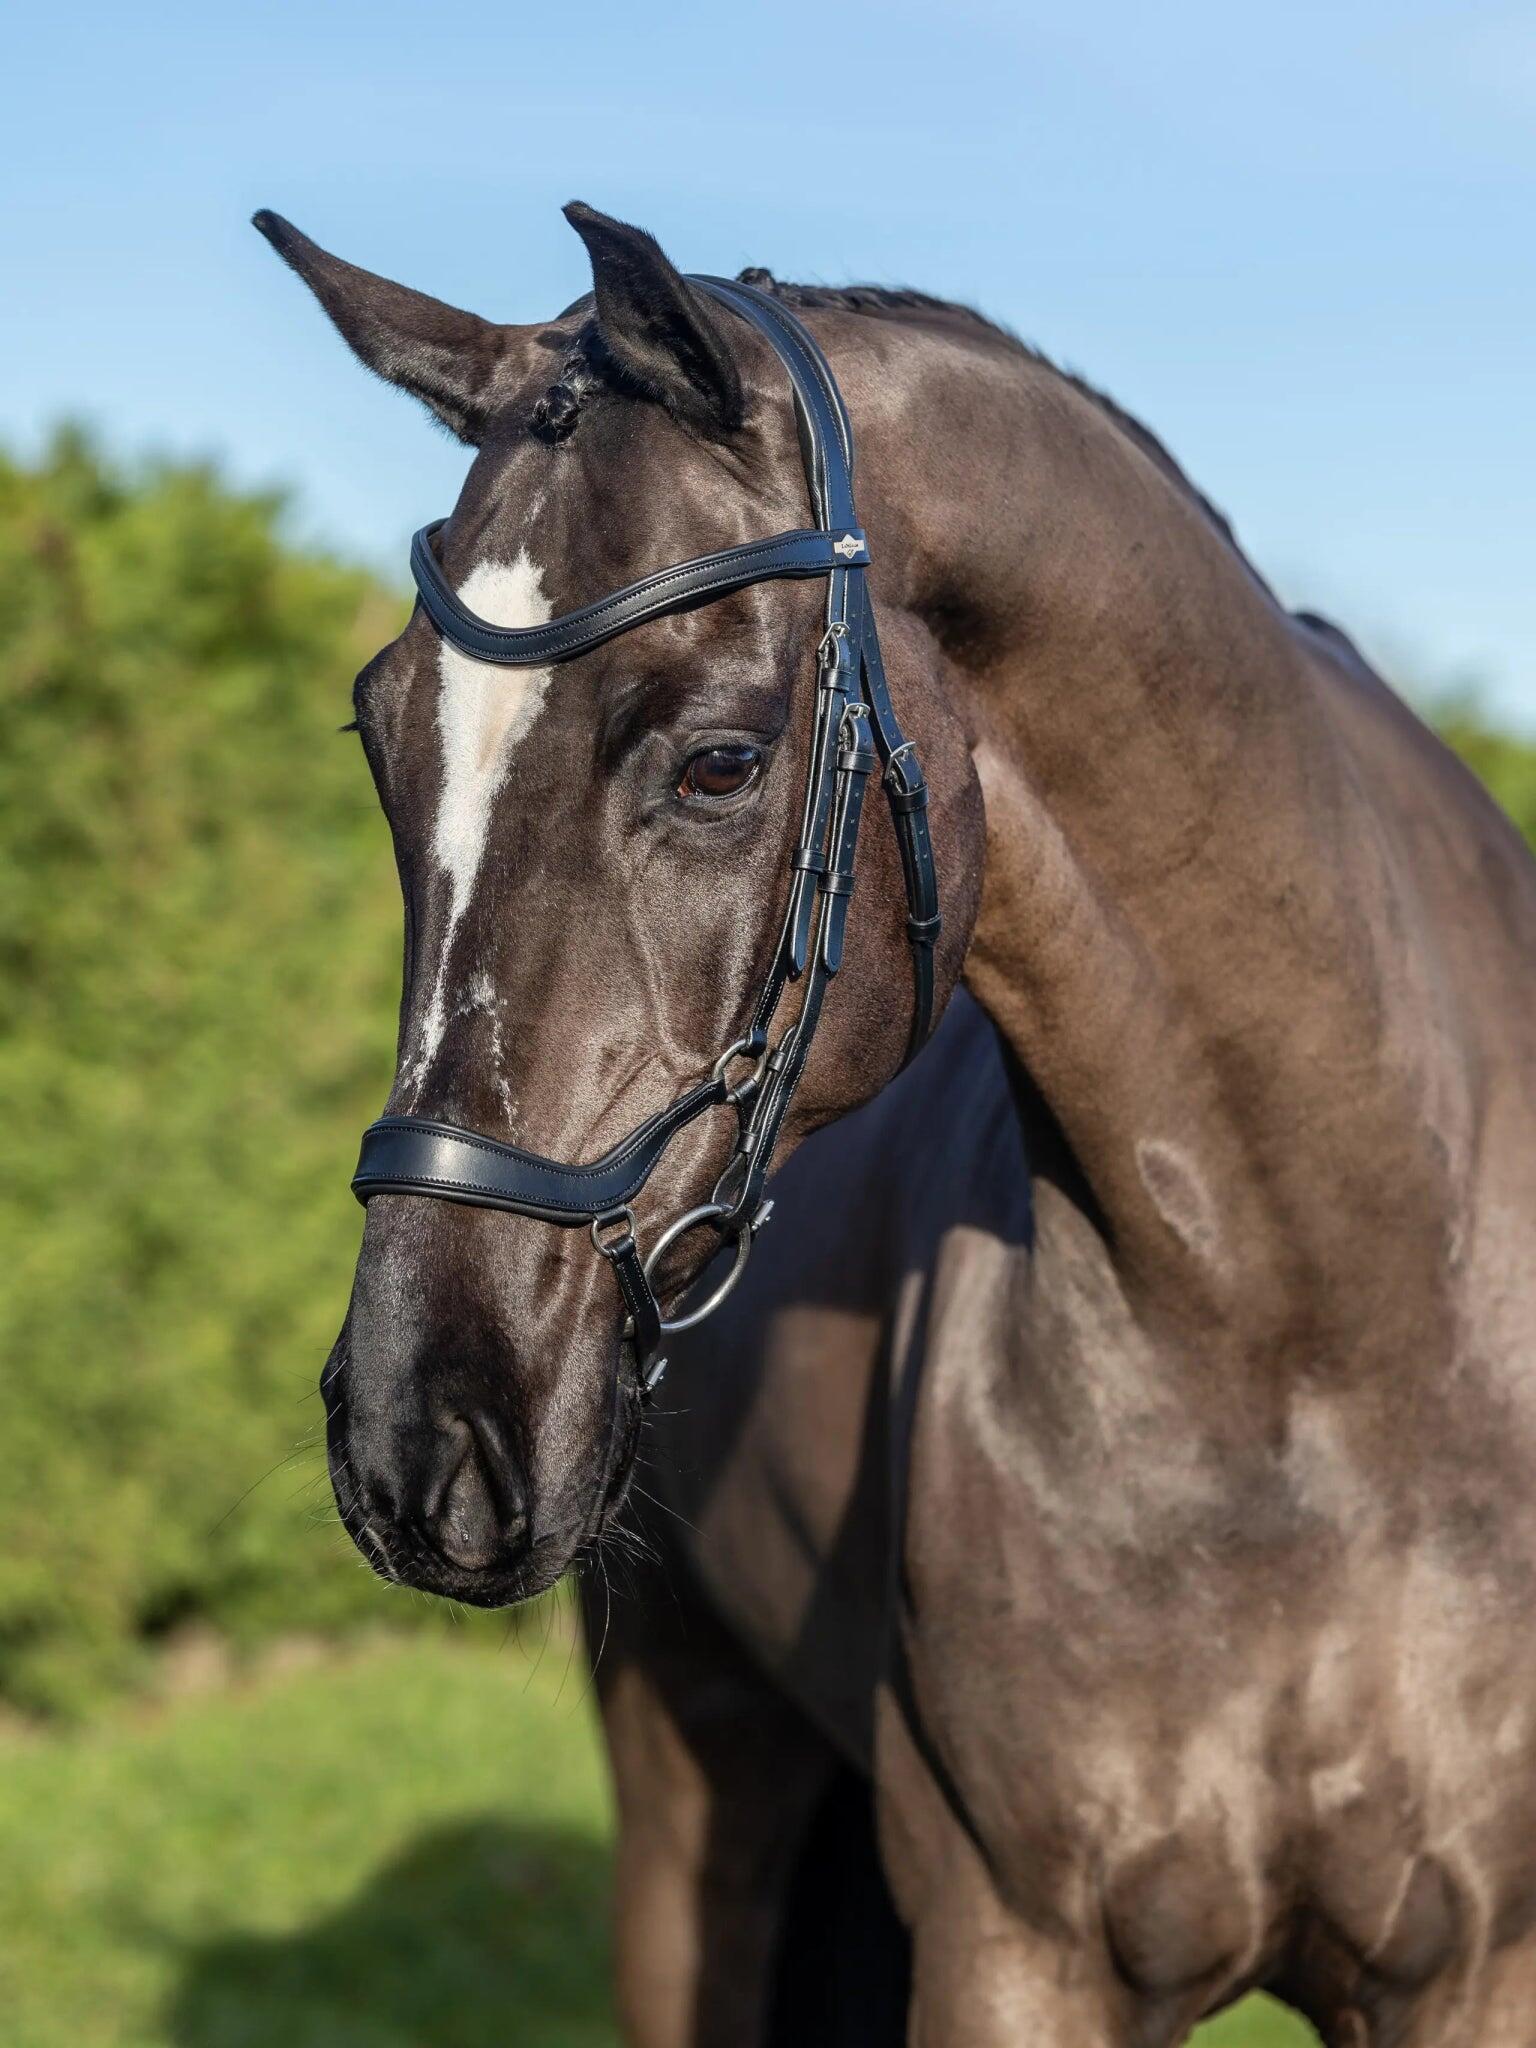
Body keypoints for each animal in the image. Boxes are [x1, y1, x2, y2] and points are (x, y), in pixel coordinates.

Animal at [258, 201, 1536, 2046]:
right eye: (381, 732)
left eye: (719, 763)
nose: (418, 1438)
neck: (1319, 1335)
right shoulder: (1015, 1950)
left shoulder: (1474, 1966)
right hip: (692, 1780)